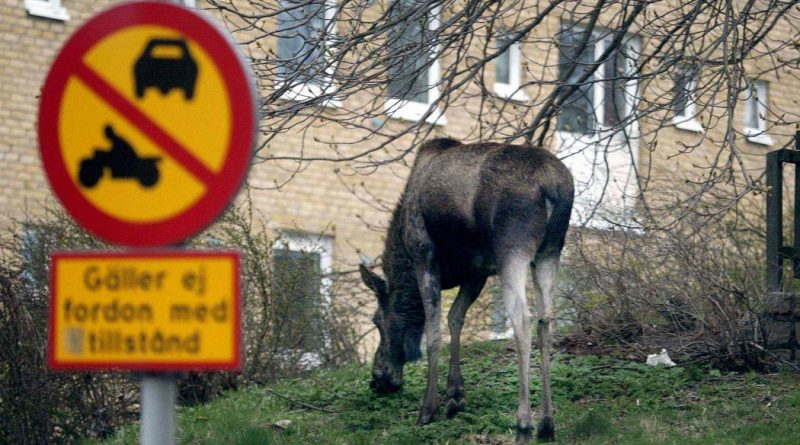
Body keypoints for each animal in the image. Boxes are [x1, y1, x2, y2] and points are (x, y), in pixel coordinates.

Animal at [360, 138, 572, 440]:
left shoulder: (424, 255)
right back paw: (546, 423)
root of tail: (552, 186)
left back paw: (523, 424)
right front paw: (456, 395)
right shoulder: (478, 270)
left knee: (522, 320)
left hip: (512, 247)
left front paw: (429, 410)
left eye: (376, 320)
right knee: (546, 321)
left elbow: (433, 334)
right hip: (551, 250)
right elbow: (455, 318)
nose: (378, 379)